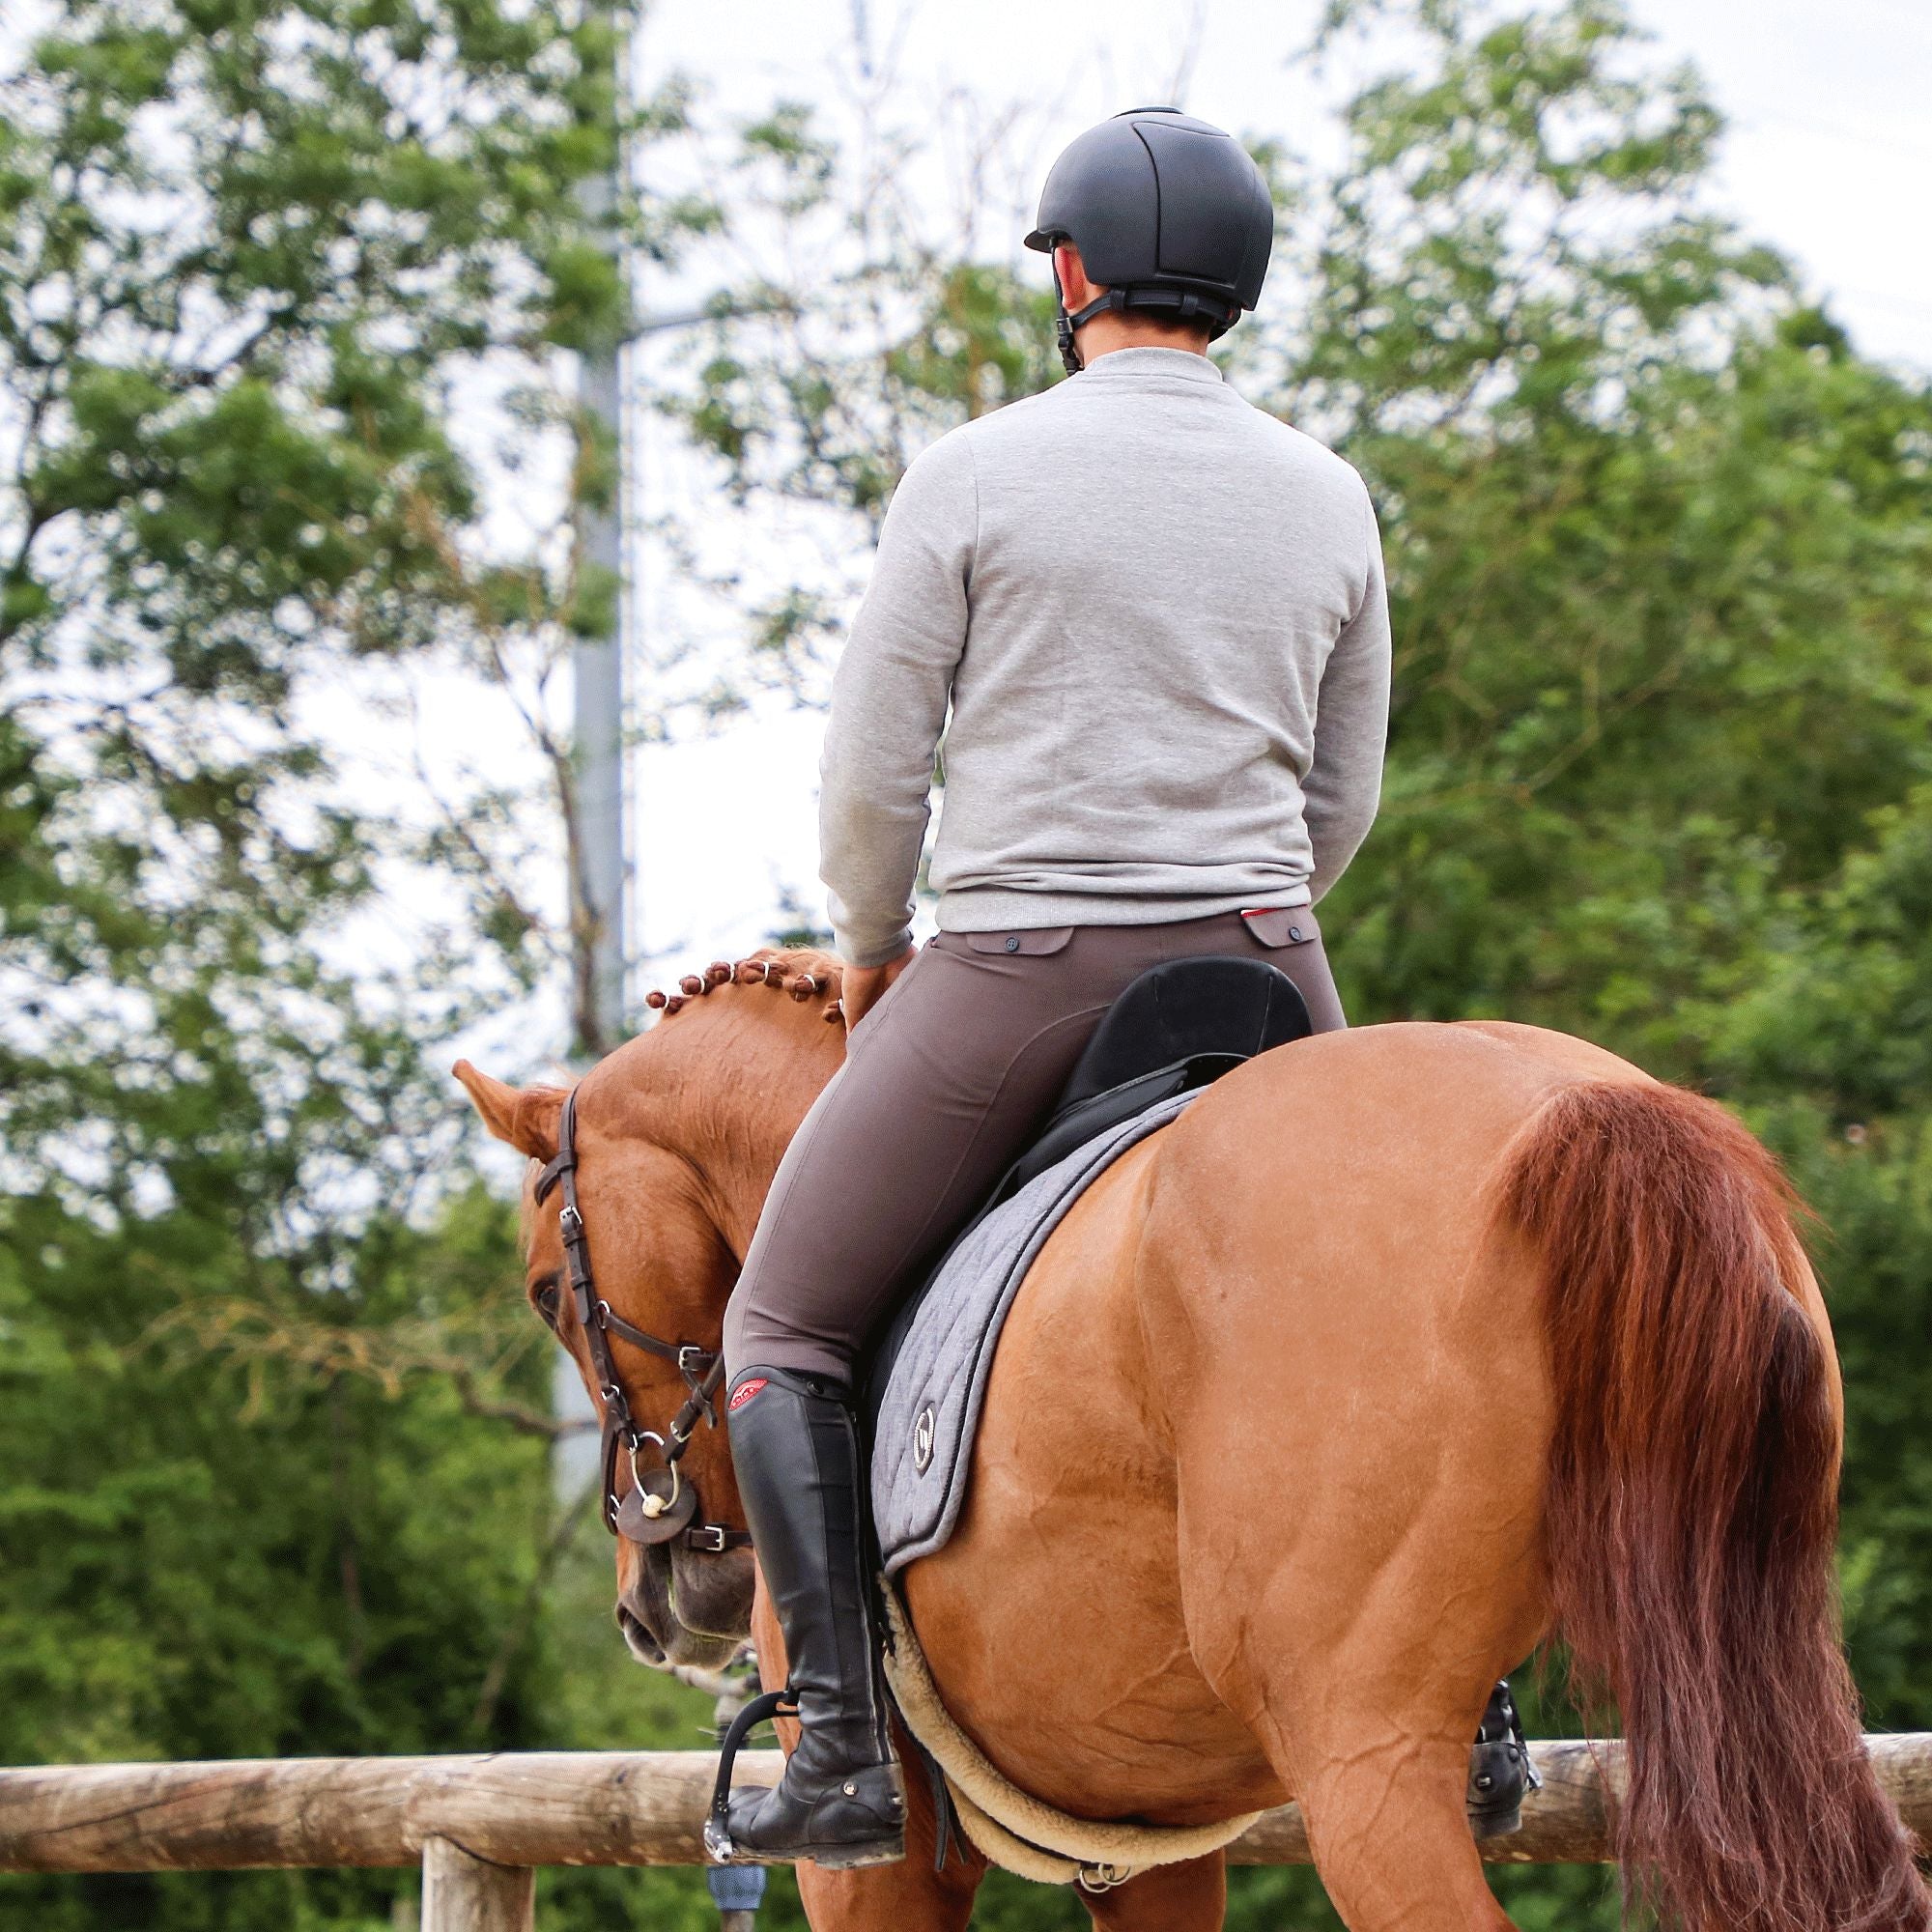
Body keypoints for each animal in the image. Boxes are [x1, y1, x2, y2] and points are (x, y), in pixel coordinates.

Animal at [452, 951, 1917, 1932]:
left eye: (544, 1291)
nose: (661, 1598)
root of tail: (1575, 1108)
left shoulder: (870, 1867)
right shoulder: (1149, 1839)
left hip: (1364, 1763)